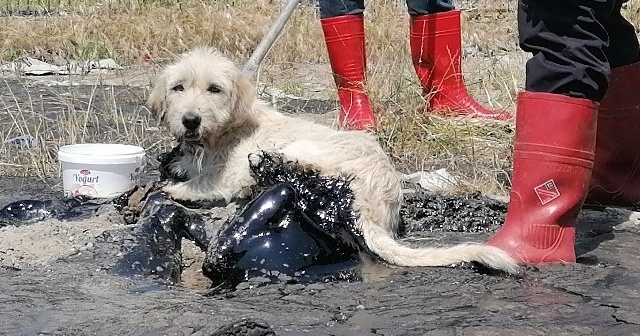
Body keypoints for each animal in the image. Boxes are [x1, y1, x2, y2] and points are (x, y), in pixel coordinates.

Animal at [148, 46, 516, 272]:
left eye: (215, 89)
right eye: (178, 87)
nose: (190, 120)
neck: (224, 132)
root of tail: (375, 202)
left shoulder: (227, 175)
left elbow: (207, 183)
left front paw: (176, 187)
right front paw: (180, 164)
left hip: (306, 149)